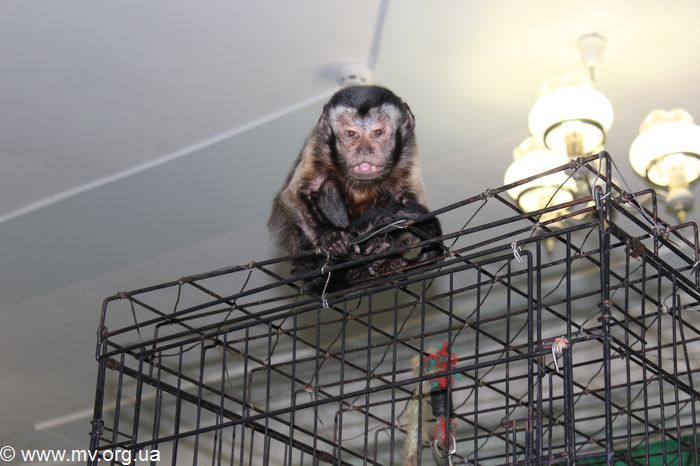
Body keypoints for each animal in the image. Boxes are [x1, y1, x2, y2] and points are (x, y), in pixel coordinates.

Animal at [268, 85, 442, 294]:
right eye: (351, 134)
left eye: (378, 133)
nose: (364, 150)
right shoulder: (317, 142)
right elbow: (293, 195)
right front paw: (329, 236)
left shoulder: (408, 150)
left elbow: (412, 205)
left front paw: (385, 241)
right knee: (326, 186)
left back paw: (383, 254)